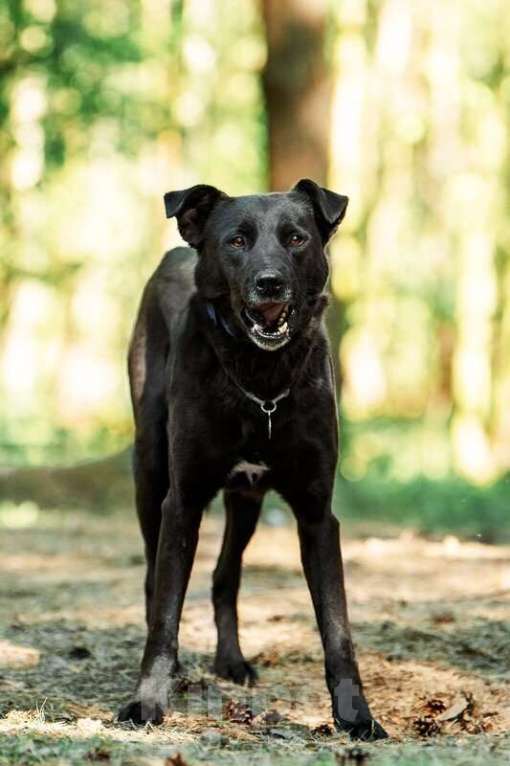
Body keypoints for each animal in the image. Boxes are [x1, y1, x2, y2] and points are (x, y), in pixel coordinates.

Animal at [116, 180, 386, 744]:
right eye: (236, 241)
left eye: (297, 238)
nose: (269, 284)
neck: (261, 380)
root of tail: (176, 252)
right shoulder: (182, 502)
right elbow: (165, 617)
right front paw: (147, 702)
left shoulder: (316, 514)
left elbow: (337, 629)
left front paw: (356, 716)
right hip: (148, 475)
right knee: (154, 579)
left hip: (248, 502)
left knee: (225, 576)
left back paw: (232, 662)